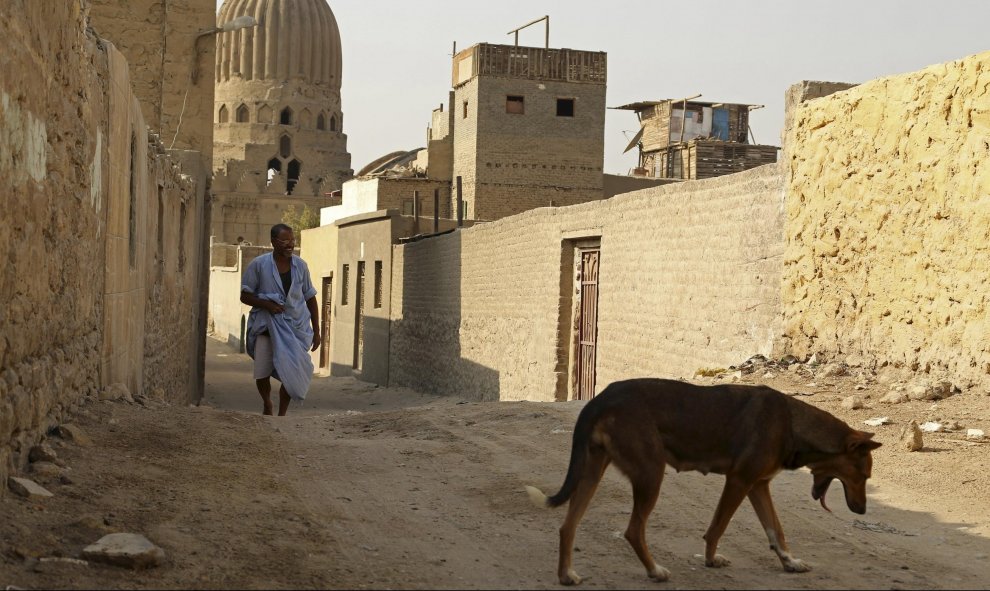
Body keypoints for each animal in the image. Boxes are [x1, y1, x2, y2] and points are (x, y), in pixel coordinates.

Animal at [528, 382, 884, 584]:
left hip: (593, 470)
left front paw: (789, 562)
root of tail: (598, 399)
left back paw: (566, 575)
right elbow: (717, 527)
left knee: (568, 526)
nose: (863, 511)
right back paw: (654, 571)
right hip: (650, 473)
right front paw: (711, 559)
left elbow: (776, 531)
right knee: (632, 530)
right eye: (864, 476)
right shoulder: (739, 481)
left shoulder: (759, 486)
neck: (794, 424)